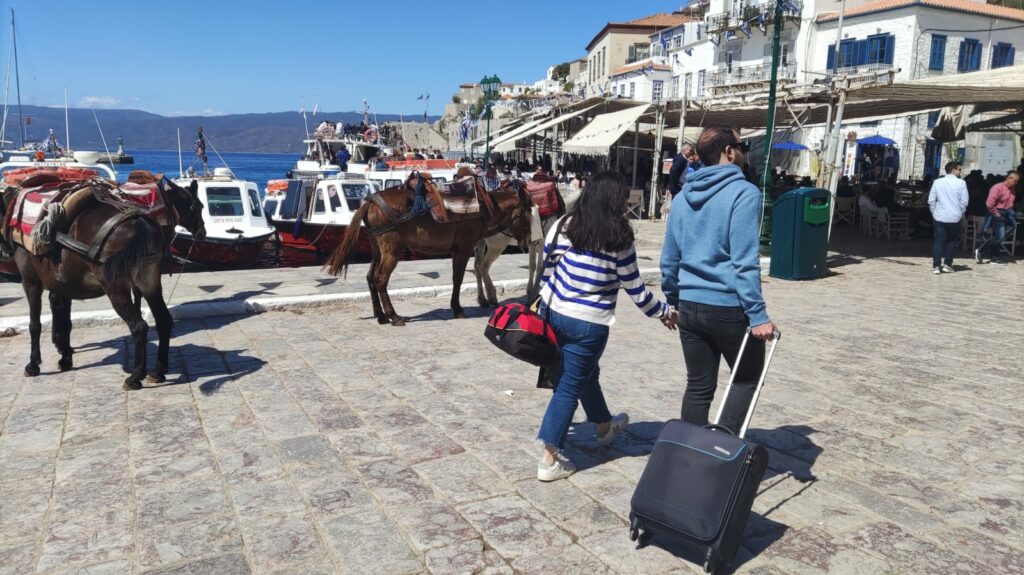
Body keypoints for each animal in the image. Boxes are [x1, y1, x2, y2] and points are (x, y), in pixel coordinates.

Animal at [0, 178, 205, 389]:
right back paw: (158, 372)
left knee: (139, 326)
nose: (202, 231)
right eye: (198, 206)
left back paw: (135, 376)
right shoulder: (62, 285)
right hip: (149, 283)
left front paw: (33, 364)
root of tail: (140, 224)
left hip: (116, 288)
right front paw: (65, 357)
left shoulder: (30, 280)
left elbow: (36, 324)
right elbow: (64, 321)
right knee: (163, 320)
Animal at [324, 175, 532, 325]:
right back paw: (393, 316)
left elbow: (456, 278)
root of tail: (370, 202)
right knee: (380, 279)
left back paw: (381, 315)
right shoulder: (464, 249)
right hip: (392, 250)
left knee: (370, 277)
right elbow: (458, 279)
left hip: (377, 250)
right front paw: (457, 309)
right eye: (527, 213)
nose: (527, 241)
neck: (483, 208)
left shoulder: (458, 250)